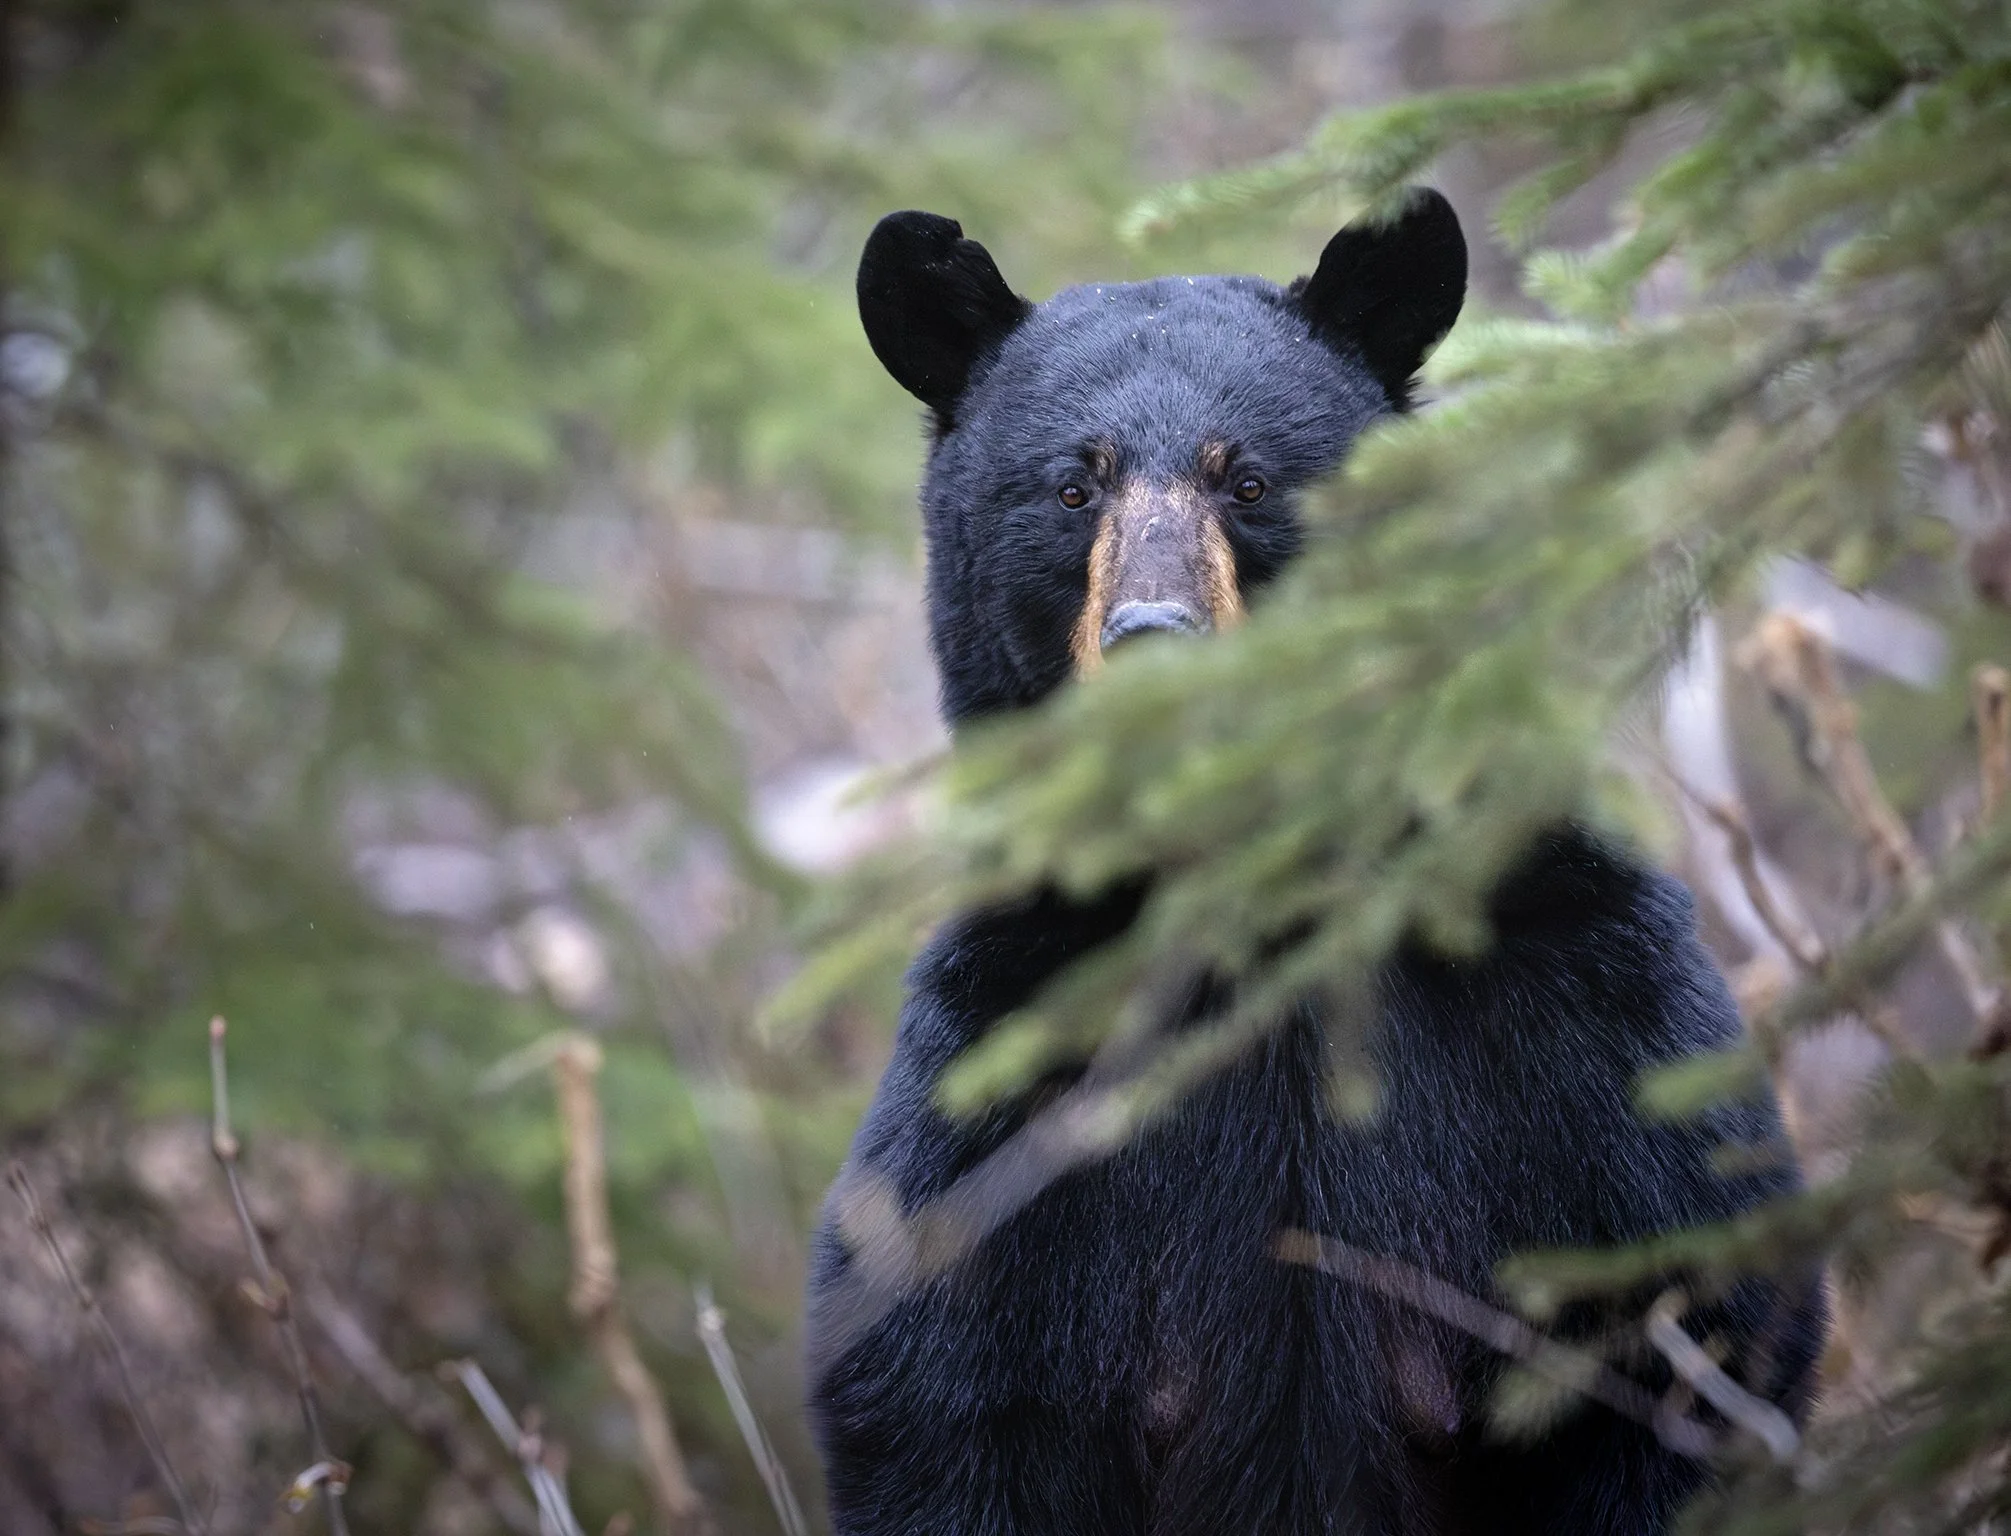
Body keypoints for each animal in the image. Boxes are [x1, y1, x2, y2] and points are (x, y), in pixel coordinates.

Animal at [804, 190, 1824, 1536]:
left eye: (1245, 478)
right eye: (1074, 485)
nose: (1155, 644)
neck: (1266, 903)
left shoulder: (1580, 1014)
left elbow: (1686, 1332)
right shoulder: (1004, 1083)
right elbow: (946, 1399)